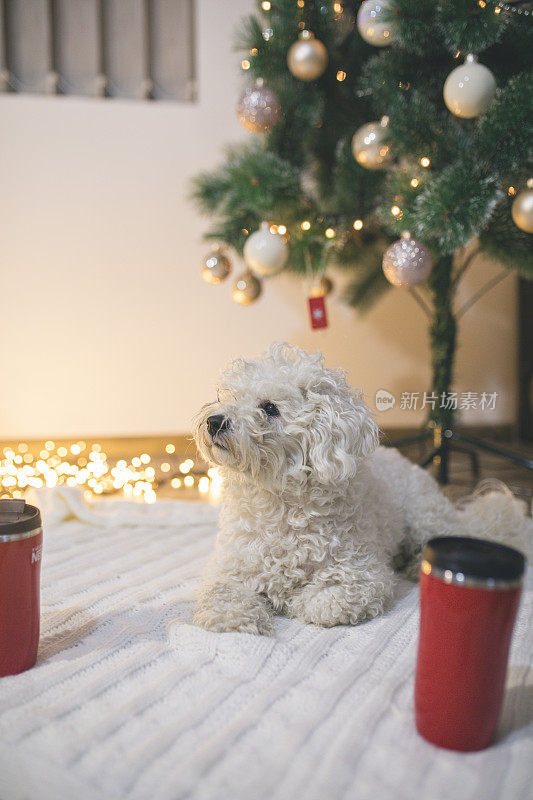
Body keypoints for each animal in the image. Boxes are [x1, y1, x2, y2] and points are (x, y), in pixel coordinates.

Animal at [194, 340, 528, 636]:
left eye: (270, 408)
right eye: (230, 396)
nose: (214, 421)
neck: (280, 503)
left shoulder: (361, 574)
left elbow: (321, 603)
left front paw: (293, 599)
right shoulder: (228, 567)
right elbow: (221, 594)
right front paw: (242, 617)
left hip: (425, 518)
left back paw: (414, 564)